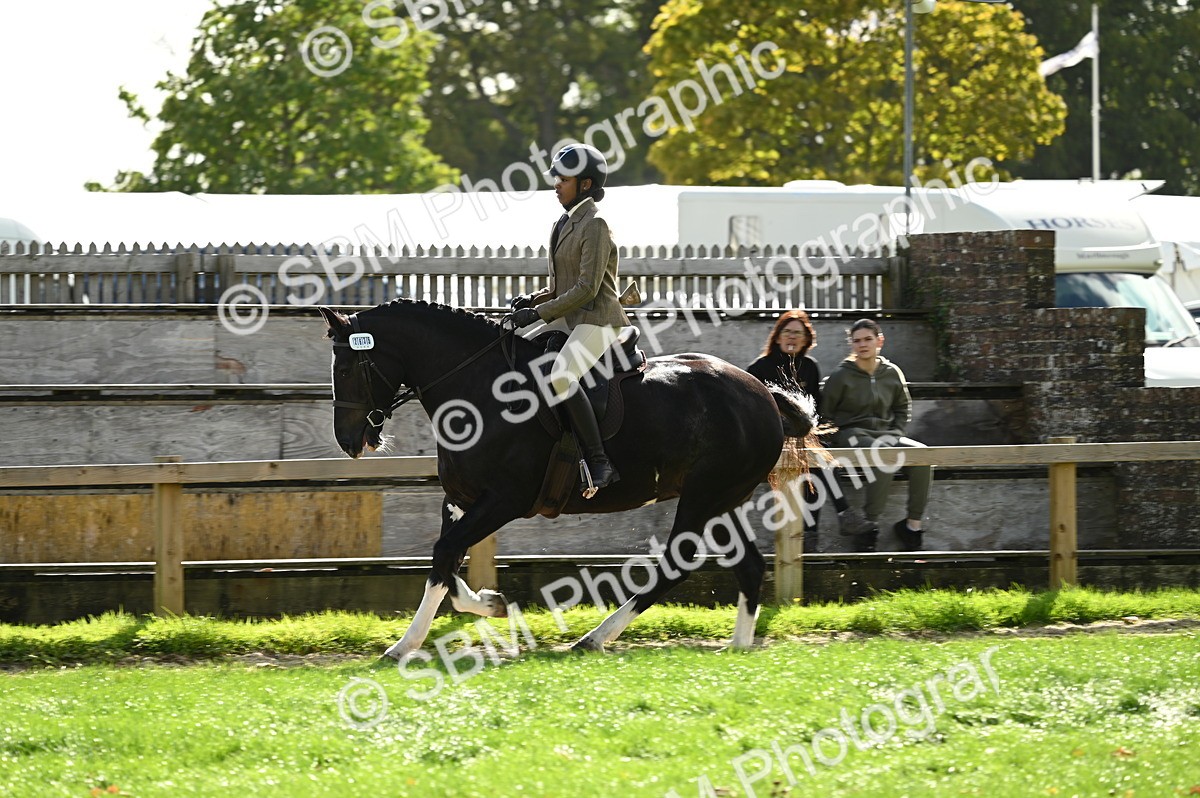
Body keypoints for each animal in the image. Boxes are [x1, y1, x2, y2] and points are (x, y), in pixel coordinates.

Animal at [318, 300, 816, 658]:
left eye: (347, 369)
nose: (348, 441)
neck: (478, 389)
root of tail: (760, 392)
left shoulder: (504, 500)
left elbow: (444, 555)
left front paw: (404, 646)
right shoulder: (460, 499)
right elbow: (446, 561)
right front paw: (490, 603)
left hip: (703, 498)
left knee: (677, 563)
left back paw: (594, 639)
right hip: (721, 502)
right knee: (747, 566)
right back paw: (737, 647)